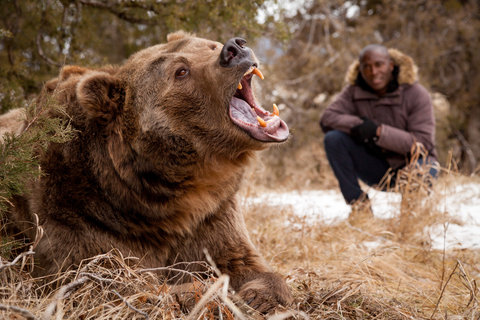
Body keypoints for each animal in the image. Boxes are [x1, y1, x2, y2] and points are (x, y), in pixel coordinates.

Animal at [2, 31, 292, 312]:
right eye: (181, 71)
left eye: (210, 44)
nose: (234, 48)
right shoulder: (80, 214)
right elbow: (112, 280)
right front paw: (200, 291)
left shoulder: (212, 213)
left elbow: (241, 260)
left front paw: (258, 295)